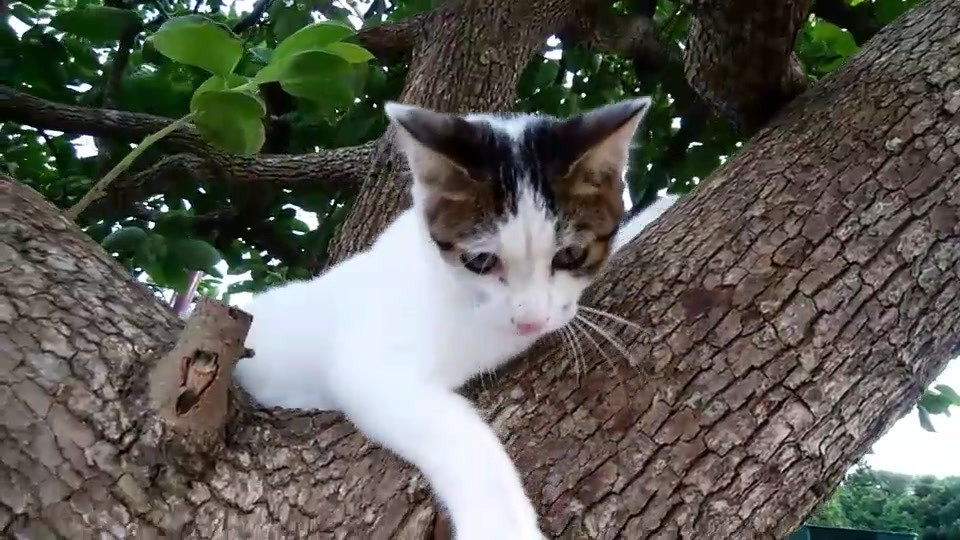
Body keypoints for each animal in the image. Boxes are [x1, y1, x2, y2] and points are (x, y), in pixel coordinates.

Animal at [233, 97, 676, 539]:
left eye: (571, 255)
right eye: (480, 260)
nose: (531, 321)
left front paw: (660, 209)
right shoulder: (368, 367)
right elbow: (459, 435)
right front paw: (502, 528)